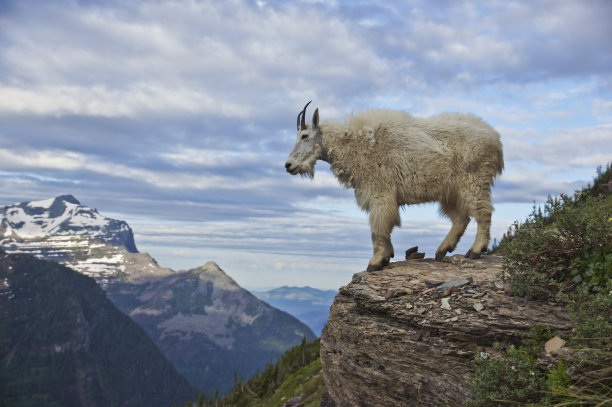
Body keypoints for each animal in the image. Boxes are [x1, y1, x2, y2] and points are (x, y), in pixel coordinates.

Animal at [284, 101, 504, 272]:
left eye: (304, 136)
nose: (288, 165)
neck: (353, 146)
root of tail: (495, 139)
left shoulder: (379, 192)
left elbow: (378, 228)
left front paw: (376, 262)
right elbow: (384, 227)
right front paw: (388, 256)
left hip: (473, 179)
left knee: (483, 212)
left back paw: (475, 250)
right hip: (450, 191)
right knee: (461, 219)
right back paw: (442, 250)